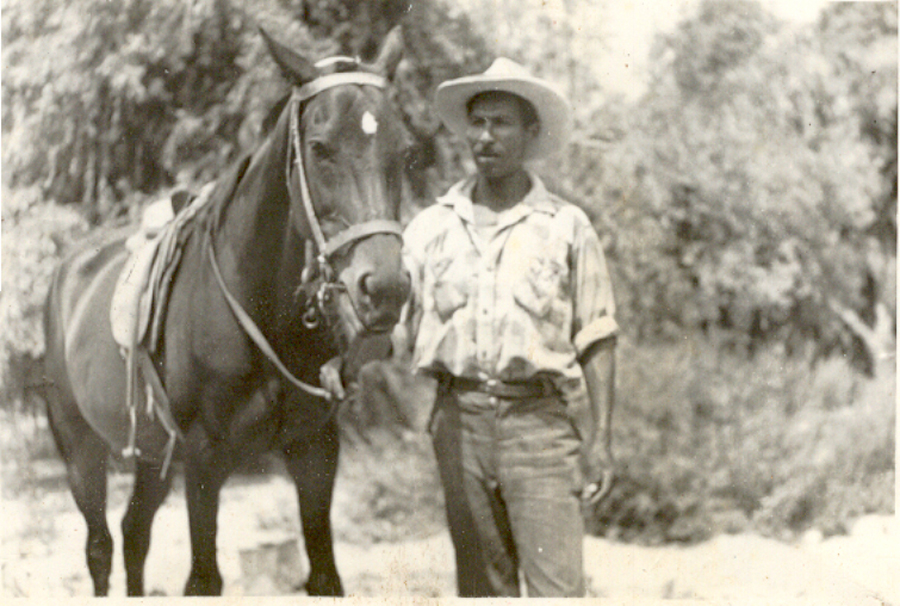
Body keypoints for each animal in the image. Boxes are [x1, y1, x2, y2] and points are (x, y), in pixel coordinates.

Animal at [41, 27, 410, 596]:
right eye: (320, 148)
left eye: (404, 148)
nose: (385, 287)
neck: (260, 307)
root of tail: (68, 268)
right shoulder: (204, 463)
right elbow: (203, 579)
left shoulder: (316, 451)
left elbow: (325, 575)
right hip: (81, 449)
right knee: (100, 548)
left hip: (153, 457)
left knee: (133, 533)